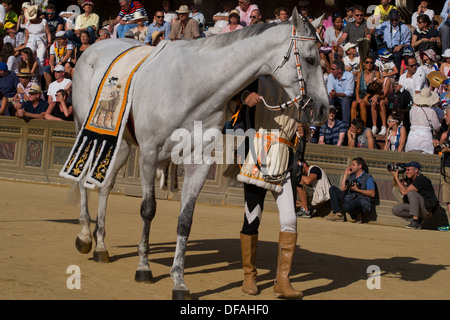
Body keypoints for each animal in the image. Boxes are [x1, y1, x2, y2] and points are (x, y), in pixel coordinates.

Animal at [72, 7, 328, 298]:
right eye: (310, 59)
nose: (323, 108)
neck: (191, 85)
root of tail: (93, 48)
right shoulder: (149, 153)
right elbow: (148, 210)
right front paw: (144, 268)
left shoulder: (199, 161)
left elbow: (185, 220)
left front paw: (179, 281)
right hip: (87, 131)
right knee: (82, 179)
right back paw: (84, 237)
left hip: (121, 143)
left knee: (105, 186)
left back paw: (101, 246)